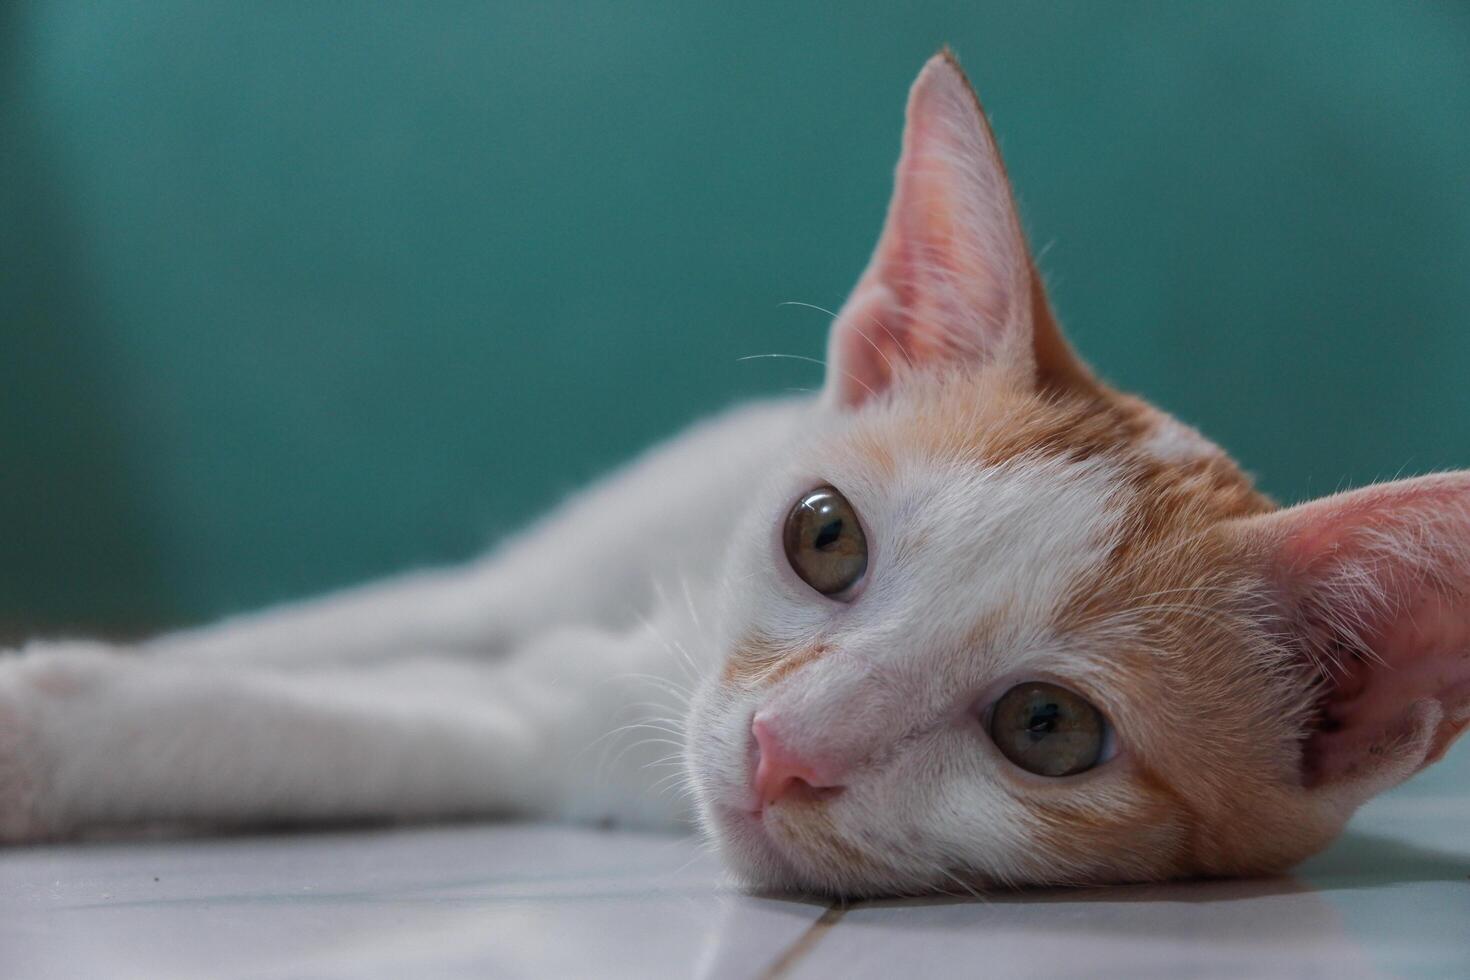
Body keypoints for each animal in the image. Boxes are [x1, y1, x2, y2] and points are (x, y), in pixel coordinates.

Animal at [2, 51, 1470, 899]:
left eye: (1048, 728)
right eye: (824, 537)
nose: (778, 747)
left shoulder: (551, 736)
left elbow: (310, 727)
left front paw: (57, 722)